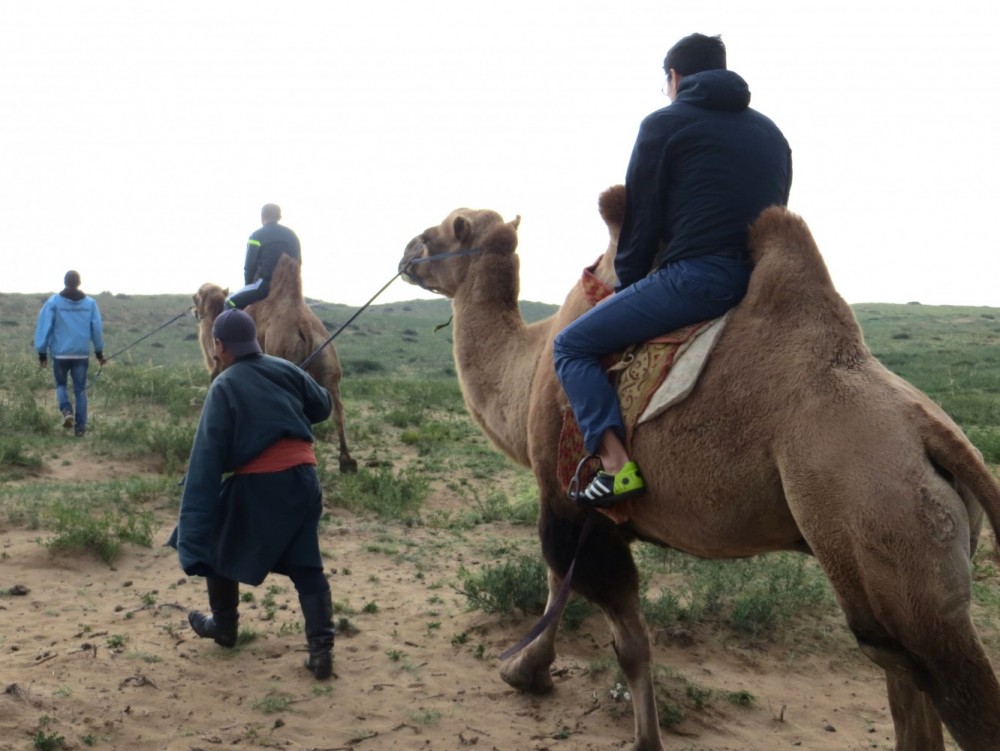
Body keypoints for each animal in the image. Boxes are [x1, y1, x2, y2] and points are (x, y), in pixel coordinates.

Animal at [191, 256, 356, 472]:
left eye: (197, 296)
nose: (194, 309)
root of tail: (303, 324)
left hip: (285, 355)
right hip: (328, 363)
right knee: (337, 410)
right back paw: (346, 462)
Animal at [398, 187, 1000, 751]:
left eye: (445, 231)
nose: (406, 252)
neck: (530, 367)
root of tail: (934, 435)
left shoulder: (568, 493)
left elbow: (625, 638)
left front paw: (640, 737)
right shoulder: (584, 508)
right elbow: (559, 585)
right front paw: (526, 671)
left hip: (885, 517)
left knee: (950, 688)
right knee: (905, 682)